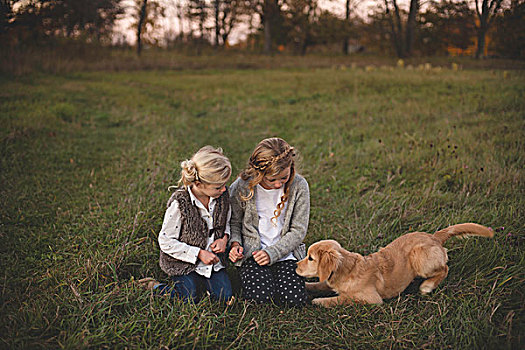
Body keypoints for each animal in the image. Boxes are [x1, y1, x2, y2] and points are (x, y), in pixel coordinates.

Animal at [296, 224, 494, 306]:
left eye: (310, 258)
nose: (296, 266)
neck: (348, 269)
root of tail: (434, 236)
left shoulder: (372, 299)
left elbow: (342, 298)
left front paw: (319, 301)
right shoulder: (329, 281)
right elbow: (319, 284)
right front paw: (307, 286)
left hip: (418, 256)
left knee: (445, 268)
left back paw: (427, 286)